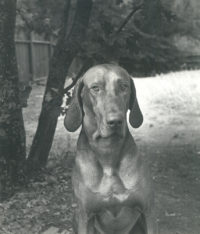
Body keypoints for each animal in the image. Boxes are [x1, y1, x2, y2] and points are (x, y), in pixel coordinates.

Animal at [64, 64, 155, 234]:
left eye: (124, 86)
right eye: (95, 88)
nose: (115, 121)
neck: (108, 153)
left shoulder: (148, 210)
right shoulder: (84, 216)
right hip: (75, 217)